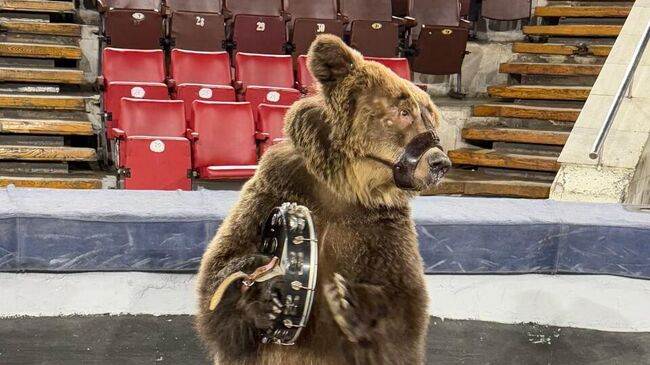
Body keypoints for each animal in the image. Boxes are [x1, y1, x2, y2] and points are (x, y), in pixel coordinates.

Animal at [195, 34, 448, 364]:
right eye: (403, 112)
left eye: (431, 116)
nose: (439, 162)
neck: (342, 187)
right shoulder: (275, 185)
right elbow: (218, 272)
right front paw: (262, 296)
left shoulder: (382, 224)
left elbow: (404, 308)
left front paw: (349, 299)